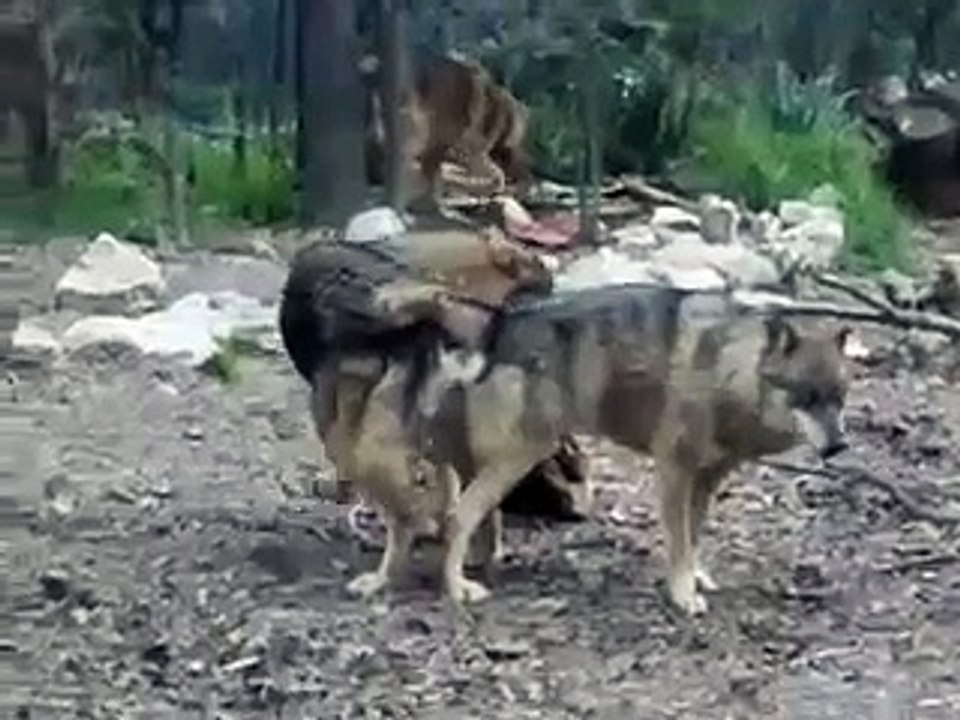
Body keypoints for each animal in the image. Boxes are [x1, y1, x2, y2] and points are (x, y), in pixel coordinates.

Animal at [388, 283, 851, 615]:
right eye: (808, 397)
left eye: (839, 397)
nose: (839, 446)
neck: (725, 367)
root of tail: (499, 323)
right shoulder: (674, 470)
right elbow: (680, 540)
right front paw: (683, 594)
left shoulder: (706, 480)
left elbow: (694, 535)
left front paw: (696, 577)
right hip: (519, 457)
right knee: (458, 518)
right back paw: (458, 589)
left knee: (475, 518)